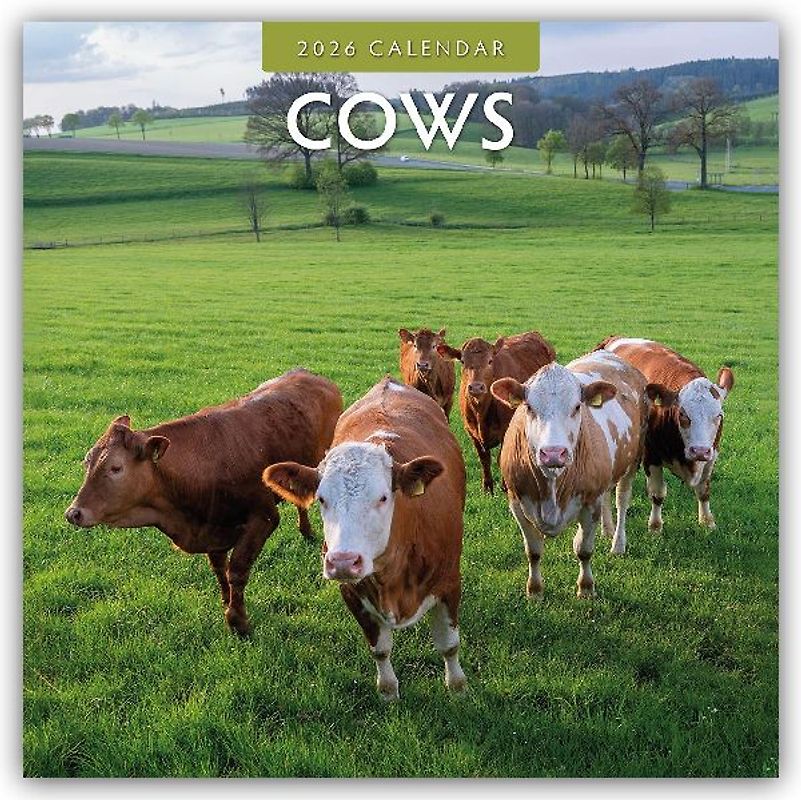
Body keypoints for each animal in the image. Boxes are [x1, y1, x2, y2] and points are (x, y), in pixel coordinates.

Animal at [64, 369, 343, 636]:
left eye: (116, 468)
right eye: (87, 462)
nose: (73, 513)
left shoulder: (263, 518)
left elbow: (237, 570)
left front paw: (238, 621)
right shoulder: (212, 527)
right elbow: (220, 568)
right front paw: (226, 602)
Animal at [263, 377, 466, 701]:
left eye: (382, 497)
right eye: (322, 499)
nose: (343, 561)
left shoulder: (449, 583)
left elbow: (449, 644)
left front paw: (458, 687)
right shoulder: (352, 593)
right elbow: (380, 649)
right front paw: (388, 691)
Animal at [437, 331, 556, 493]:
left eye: (490, 361)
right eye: (462, 361)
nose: (476, 387)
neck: (481, 411)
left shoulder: (505, 429)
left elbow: (500, 457)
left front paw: (504, 487)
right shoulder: (471, 431)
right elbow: (484, 459)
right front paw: (487, 488)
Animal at [491, 349, 649, 599]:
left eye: (576, 407)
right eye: (529, 407)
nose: (553, 453)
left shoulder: (590, 503)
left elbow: (583, 549)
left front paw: (586, 588)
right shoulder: (516, 502)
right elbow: (533, 551)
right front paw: (534, 591)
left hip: (633, 459)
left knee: (621, 499)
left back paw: (617, 543)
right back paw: (607, 530)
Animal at [597, 336, 734, 532]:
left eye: (719, 416)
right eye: (682, 414)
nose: (699, 451)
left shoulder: (712, 455)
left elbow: (704, 490)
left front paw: (707, 521)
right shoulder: (651, 456)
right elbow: (658, 494)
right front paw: (655, 526)